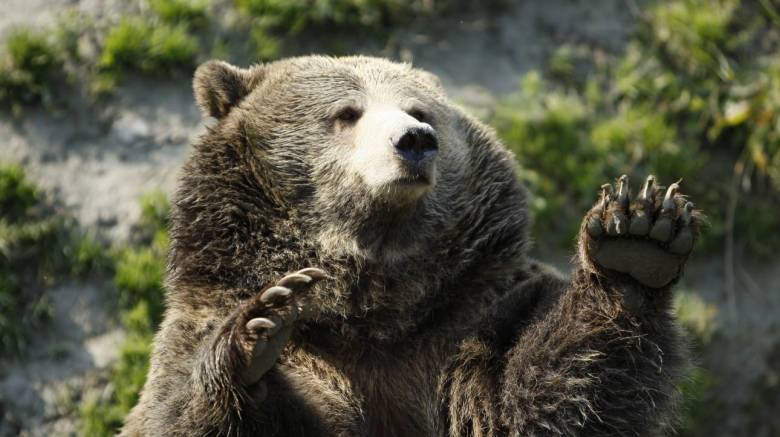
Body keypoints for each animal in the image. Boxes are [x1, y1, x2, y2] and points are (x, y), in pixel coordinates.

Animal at [122, 55, 700, 436]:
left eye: (419, 109)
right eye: (347, 112)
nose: (415, 140)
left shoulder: (465, 321)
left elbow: (532, 405)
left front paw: (636, 242)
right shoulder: (204, 328)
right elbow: (176, 412)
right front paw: (258, 329)